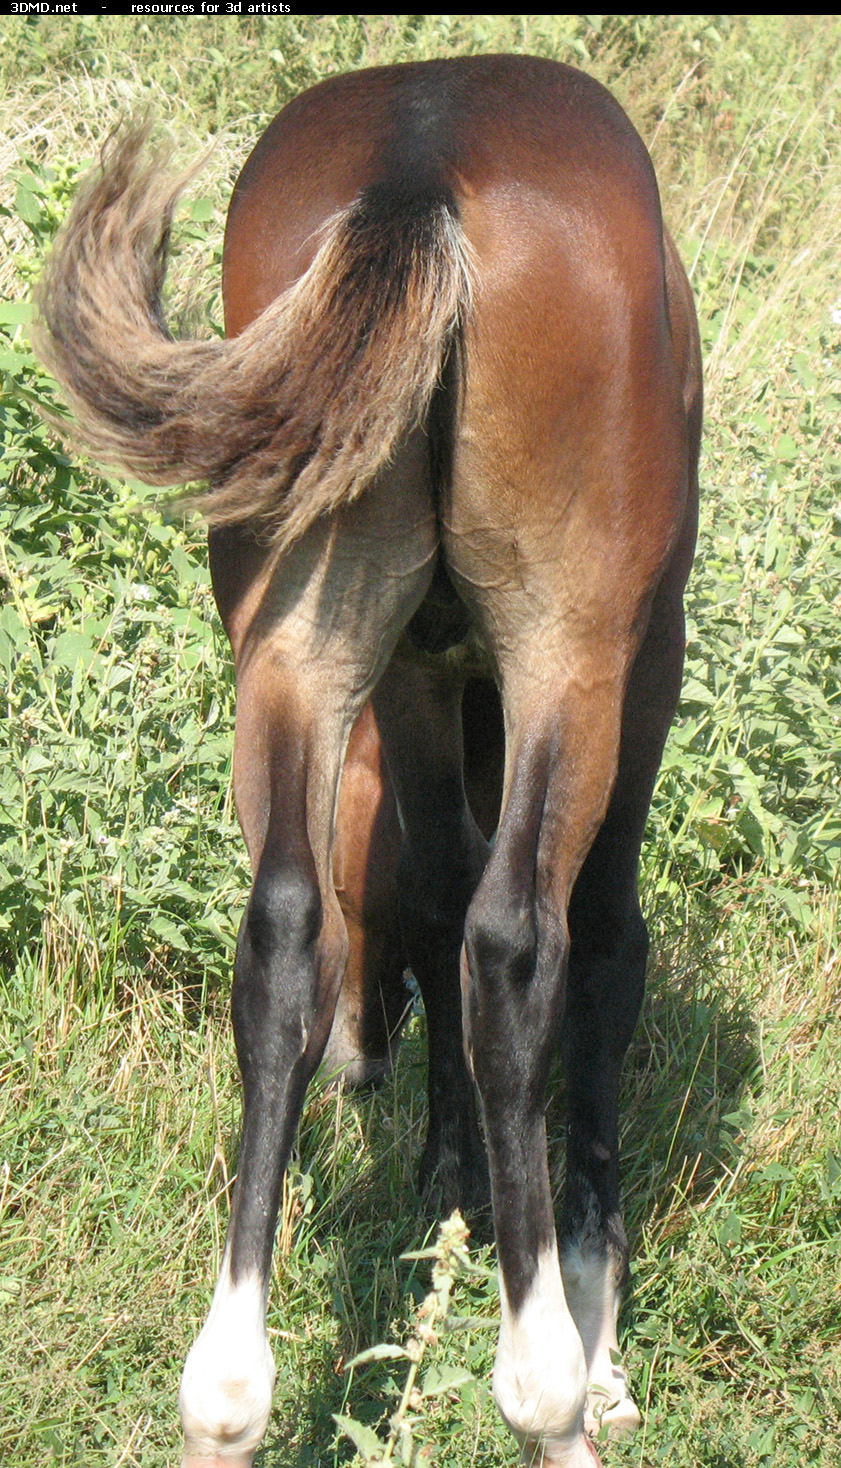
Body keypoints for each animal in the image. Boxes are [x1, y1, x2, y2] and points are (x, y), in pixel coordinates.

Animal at [34, 51, 701, 1468]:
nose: (364, 1059)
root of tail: (419, 167)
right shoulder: (639, 652)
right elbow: (599, 940)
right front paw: (593, 1313)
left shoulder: (415, 674)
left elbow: (428, 892)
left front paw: (446, 1175)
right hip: (571, 647)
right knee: (519, 940)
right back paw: (548, 1392)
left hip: (303, 641)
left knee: (287, 927)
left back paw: (227, 1397)